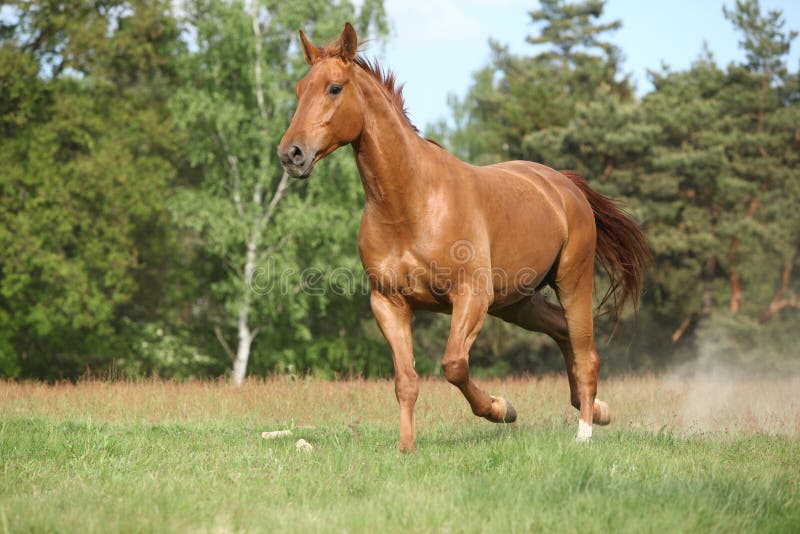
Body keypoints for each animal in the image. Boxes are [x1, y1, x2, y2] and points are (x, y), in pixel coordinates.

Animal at [276, 24, 648, 452]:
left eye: (334, 88)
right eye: (299, 89)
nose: (291, 154)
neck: (411, 204)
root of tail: (564, 185)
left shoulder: (469, 296)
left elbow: (453, 365)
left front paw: (502, 408)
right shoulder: (388, 303)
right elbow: (406, 381)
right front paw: (406, 448)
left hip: (571, 280)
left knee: (586, 351)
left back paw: (585, 430)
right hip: (515, 302)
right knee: (562, 331)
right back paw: (598, 409)